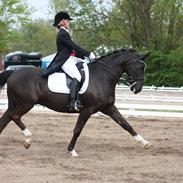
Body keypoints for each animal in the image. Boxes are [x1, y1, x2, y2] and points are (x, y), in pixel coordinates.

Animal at [0, 48, 150, 156]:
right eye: (139, 67)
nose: (137, 89)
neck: (102, 76)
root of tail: (14, 73)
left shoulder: (109, 108)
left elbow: (126, 124)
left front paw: (145, 143)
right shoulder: (87, 109)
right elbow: (78, 129)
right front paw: (72, 150)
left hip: (15, 103)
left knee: (5, 119)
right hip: (26, 104)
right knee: (14, 116)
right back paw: (28, 138)